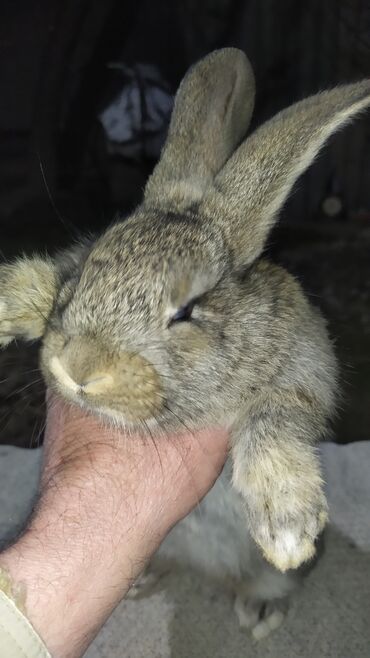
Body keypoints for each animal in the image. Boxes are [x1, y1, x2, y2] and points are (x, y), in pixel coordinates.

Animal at [0, 50, 370, 636]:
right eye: (86, 271)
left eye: (186, 311)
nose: (77, 368)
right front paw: (8, 299)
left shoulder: (307, 368)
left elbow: (279, 412)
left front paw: (287, 522)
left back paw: (261, 607)